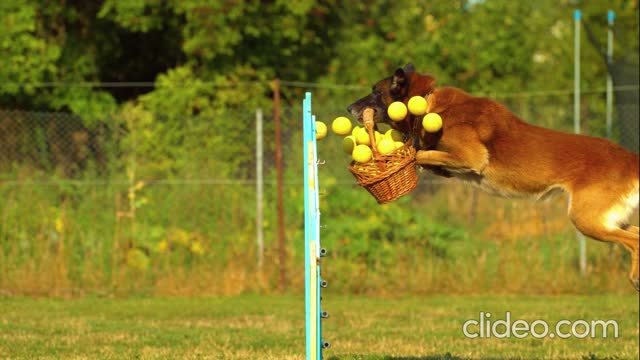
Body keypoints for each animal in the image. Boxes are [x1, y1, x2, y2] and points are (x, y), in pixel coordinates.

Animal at [350, 63, 640, 292]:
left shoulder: (472, 156)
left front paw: (411, 156)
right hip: (605, 219)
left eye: (376, 91)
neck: (427, 101)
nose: (349, 106)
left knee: (634, 241)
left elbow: (420, 154)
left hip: (585, 219)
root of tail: (629, 158)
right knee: (635, 233)